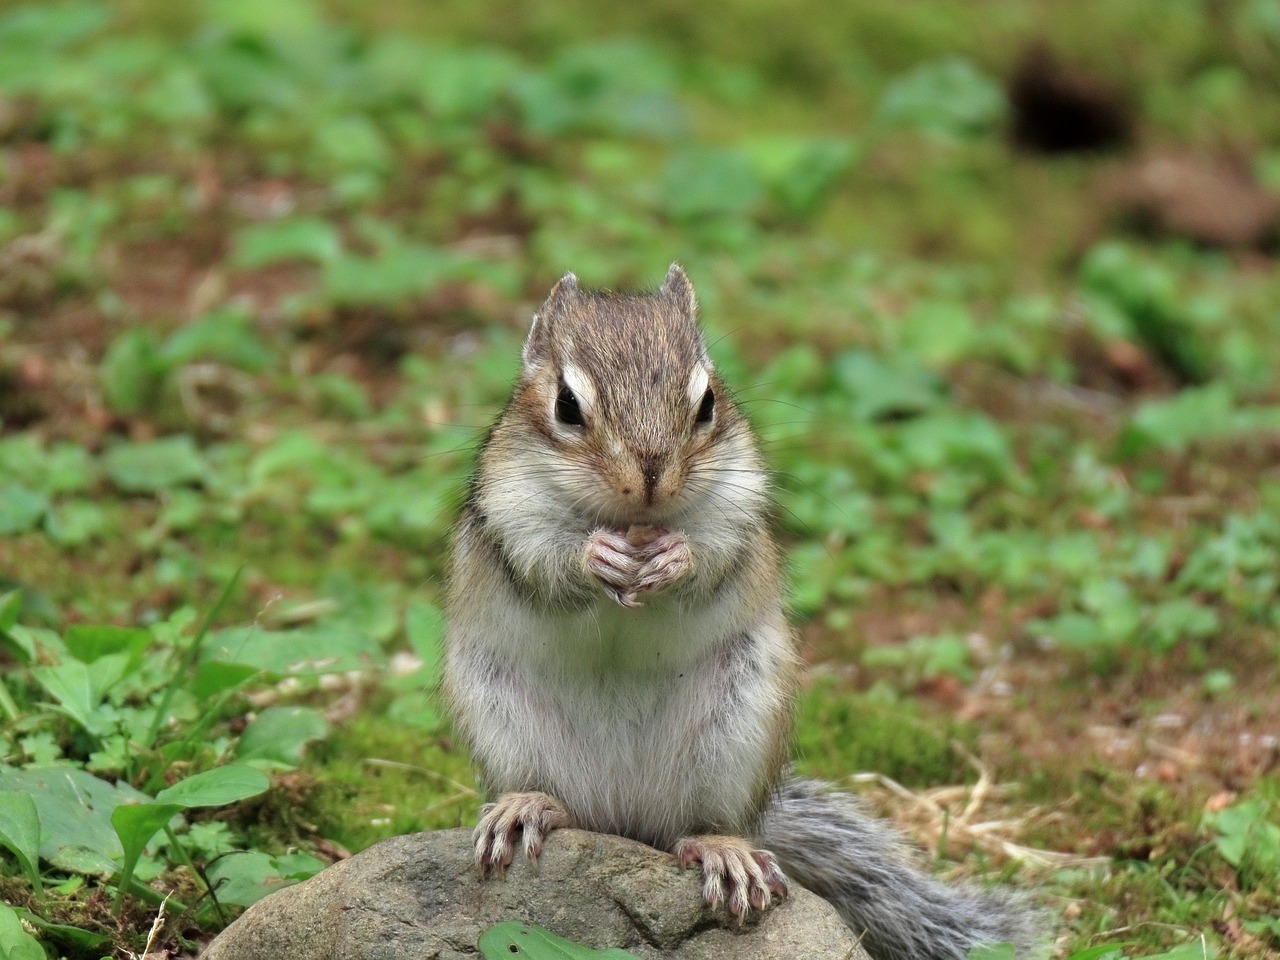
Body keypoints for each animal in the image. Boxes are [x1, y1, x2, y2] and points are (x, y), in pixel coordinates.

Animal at [445, 264, 1044, 960]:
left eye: (707, 402)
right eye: (567, 406)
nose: (650, 477)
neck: (634, 521)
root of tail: (624, 819)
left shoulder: (737, 505)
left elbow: (714, 558)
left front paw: (676, 558)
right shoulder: (509, 509)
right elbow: (545, 564)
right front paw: (596, 555)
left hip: (735, 730)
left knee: (696, 826)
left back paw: (723, 850)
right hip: (504, 717)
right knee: (563, 805)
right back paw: (529, 808)